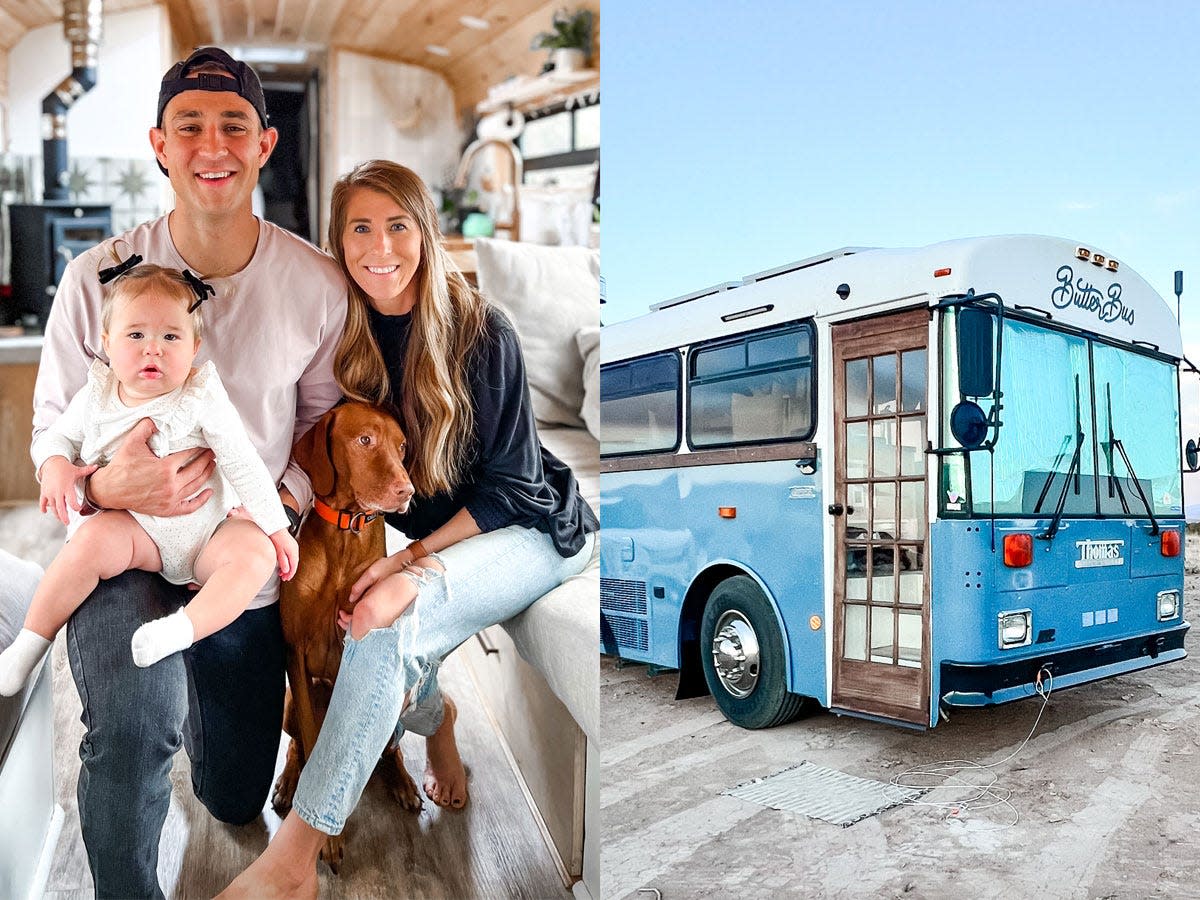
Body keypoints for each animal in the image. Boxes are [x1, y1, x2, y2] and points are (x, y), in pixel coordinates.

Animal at [270, 403, 420, 873]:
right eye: (365, 440)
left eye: (402, 446)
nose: (407, 490)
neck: (345, 531)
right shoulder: (294, 652)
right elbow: (311, 738)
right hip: (286, 704)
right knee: (298, 742)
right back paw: (287, 780)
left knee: (390, 749)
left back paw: (404, 782)